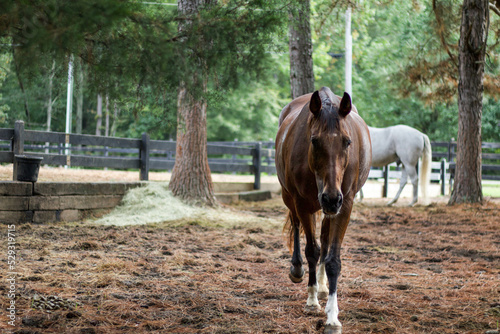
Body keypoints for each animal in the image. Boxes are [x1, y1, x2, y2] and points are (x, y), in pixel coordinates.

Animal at [276, 87, 370, 334]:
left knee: (325, 240)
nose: (331, 198)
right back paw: (298, 270)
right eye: (314, 140)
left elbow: (332, 259)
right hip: (290, 198)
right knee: (296, 227)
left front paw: (332, 316)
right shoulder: (302, 203)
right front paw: (311, 301)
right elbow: (312, 250)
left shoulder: (344, 205)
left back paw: (322, 285)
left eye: (347, 141)